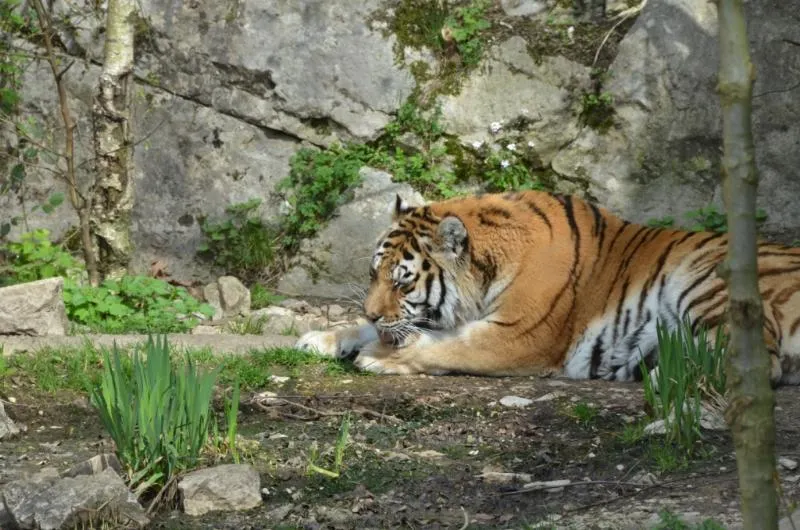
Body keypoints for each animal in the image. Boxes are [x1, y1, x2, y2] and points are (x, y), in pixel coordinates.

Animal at [294, 190, 800, 384]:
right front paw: (321, 338)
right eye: (373, 275)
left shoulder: (519, 334)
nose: (373, 310)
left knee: (760, 361)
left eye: (403, 283)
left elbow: (445, 344)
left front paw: (378, 357)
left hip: (706, 277)